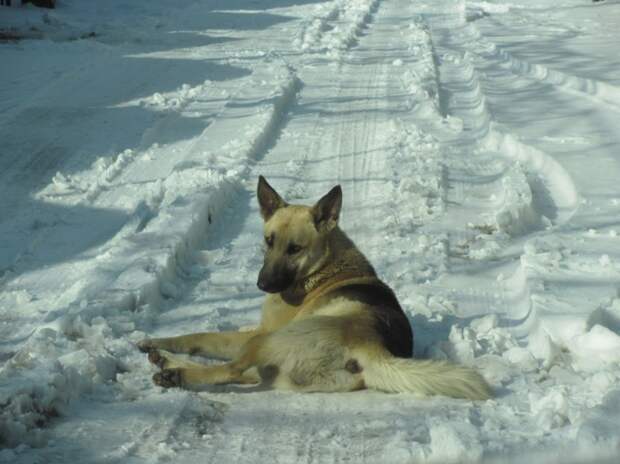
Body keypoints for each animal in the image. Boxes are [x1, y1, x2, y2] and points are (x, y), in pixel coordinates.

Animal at [138, 176, 492, 400]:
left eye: (295, 249)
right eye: (268, 241)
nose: (262, 284)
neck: (320, 269)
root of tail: (372, 345)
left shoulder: (257, 332)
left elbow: (201, 336)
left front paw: (162, 343)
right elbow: (206, 337)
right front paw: (157, 345)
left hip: (267, 342)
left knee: (231, 369)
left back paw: (175, 374)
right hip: (276, 367)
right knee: (242, 372)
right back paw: (166, 362)